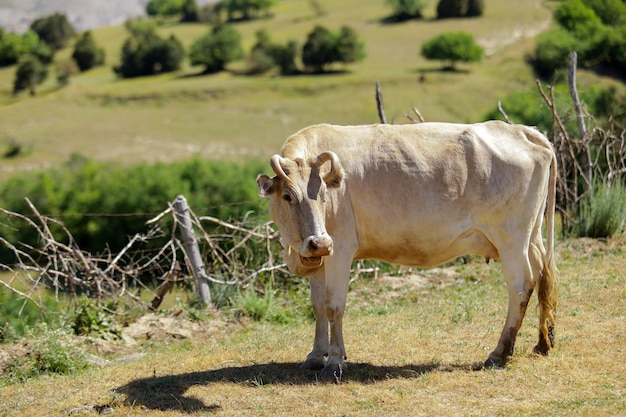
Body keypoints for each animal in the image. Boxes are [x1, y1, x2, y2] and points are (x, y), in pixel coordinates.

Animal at [256, 120, 560, 376]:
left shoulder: (340, 248)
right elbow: (318, 306)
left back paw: (500, 352)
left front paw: (334, 361)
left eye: (322, 195)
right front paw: (315, 357)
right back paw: (542, 343)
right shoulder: (317, 258)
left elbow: (333, 306)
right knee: (542, 277)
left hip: (511, 239)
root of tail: (523, 131)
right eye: (287, 196)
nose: (319, 241)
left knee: (521, 285)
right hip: (532, 237)